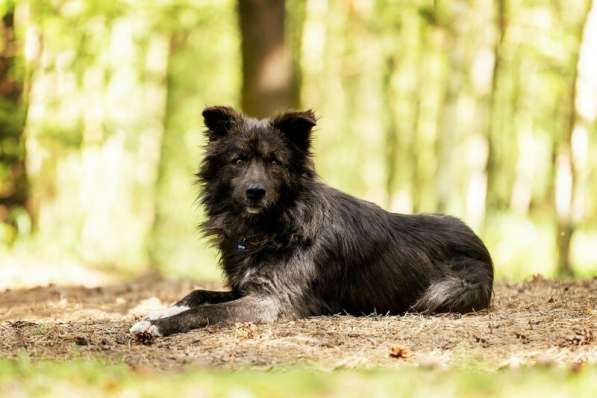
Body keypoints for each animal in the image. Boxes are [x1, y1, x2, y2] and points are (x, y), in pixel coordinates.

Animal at [130, 106, 494, 338]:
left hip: (446, 290)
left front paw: (156, 326)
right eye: (239, 160)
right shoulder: (245, 288)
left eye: (275, 162)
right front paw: (157, 312)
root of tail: (480, 243)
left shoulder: (271, 301)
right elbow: (196, 294)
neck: (276, 225)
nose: (255, 192)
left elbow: (205, 311)